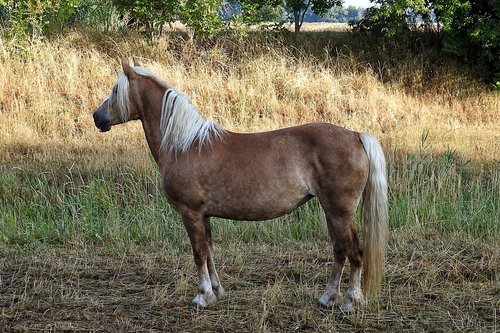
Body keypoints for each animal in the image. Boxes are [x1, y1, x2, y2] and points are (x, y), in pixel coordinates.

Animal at [94, 57, 390, 312]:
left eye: (115, 89)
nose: (97, 117)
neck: (185, 145)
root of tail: (355, 135)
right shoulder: (204, 215)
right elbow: (209, 251)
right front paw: (216, 292)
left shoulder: (191, 213)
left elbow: (198, 253)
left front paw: (201, 297)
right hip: (331, 211)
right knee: (340, 250)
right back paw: (327, 298)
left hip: (340, 211)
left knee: (354, 251)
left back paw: (349, 302)